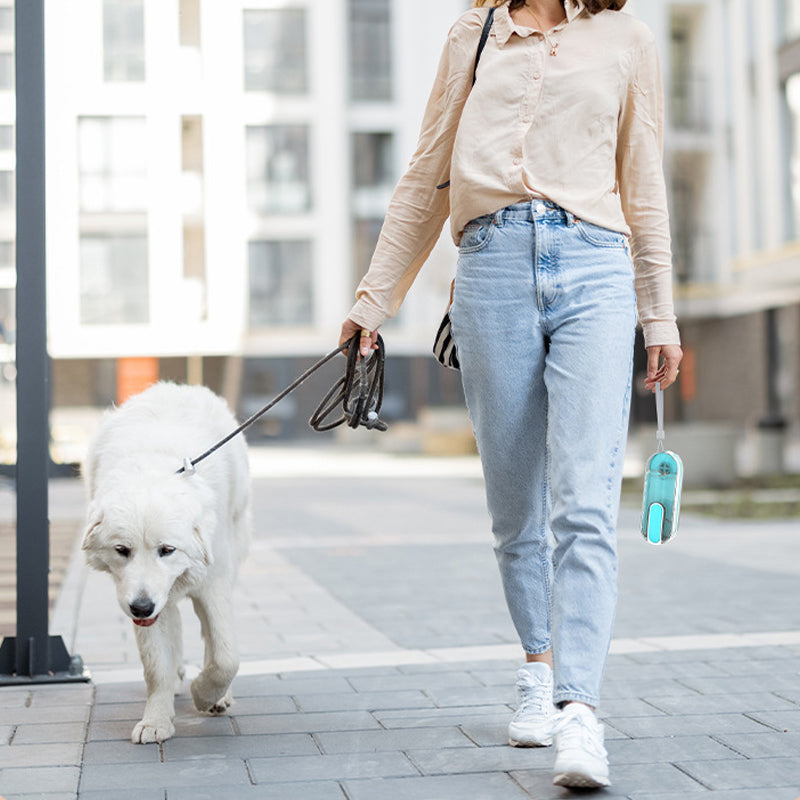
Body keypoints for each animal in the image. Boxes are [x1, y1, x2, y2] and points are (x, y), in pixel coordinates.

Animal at [81, 382, 250, 744]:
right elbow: (156, 667)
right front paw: (156, 720)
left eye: (167, 550)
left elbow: (226, 658)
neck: (153, 472)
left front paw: (205, 694)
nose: (142, 607)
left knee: (210, 639)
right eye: (122, 550)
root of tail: (179, 387)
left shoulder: (213, 583)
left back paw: (217, 696)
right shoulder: (141, 601)